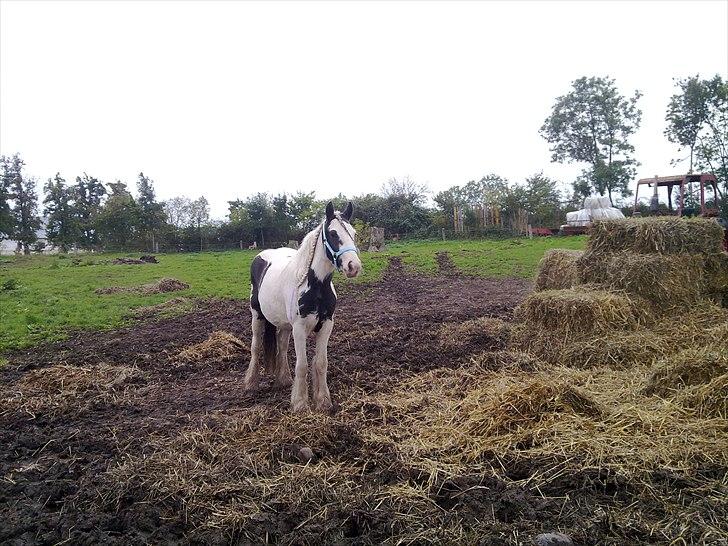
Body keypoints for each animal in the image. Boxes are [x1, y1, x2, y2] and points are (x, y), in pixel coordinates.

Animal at [245, 199, 362, 408]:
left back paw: (283, 380)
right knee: (256, 346)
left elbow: (321, 363)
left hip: (284, 324)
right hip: (257, 316)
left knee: (282, 346)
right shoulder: (299, 328)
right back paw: (251, 383)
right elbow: (302, 365)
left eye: (354, 234)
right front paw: (300, 403)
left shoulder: (326, 325)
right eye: (333, 233)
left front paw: (323, 401)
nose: (353, 266)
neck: (315, 286)